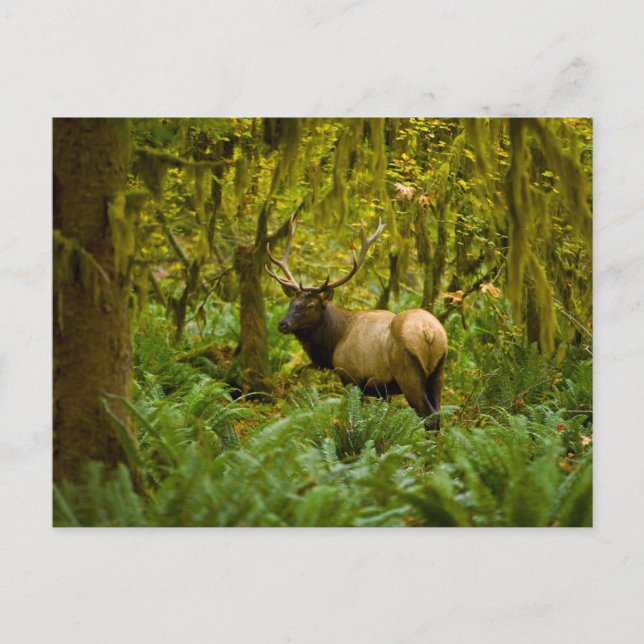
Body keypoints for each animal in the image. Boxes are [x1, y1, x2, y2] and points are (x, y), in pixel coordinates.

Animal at [265, 214, 448, 430]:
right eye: (292, 303)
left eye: (310, 305)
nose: (283, 324)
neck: (334, 342)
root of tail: (429, 332)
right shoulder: (382, 390)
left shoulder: (351, 377)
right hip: (438, 372)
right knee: (438, 415)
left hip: (409, 373)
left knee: (429, 416)